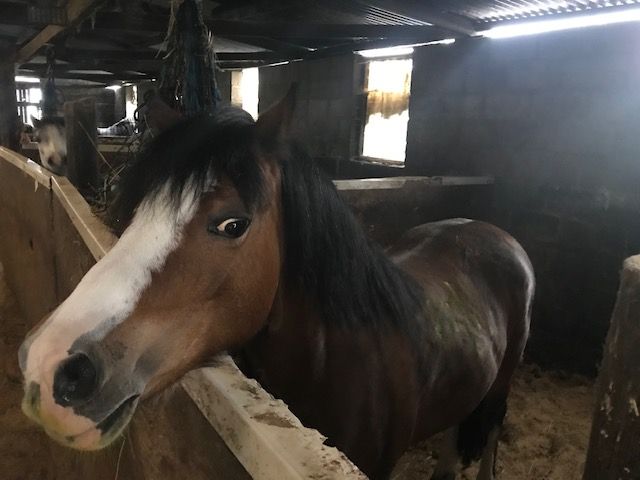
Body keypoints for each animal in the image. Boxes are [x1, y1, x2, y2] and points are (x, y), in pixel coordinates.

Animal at [19, 91, 535, 480]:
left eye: (233, 224)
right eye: (141, 211)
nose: (50, 367)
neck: (339, 361)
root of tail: (493, 233)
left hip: (501, 385)